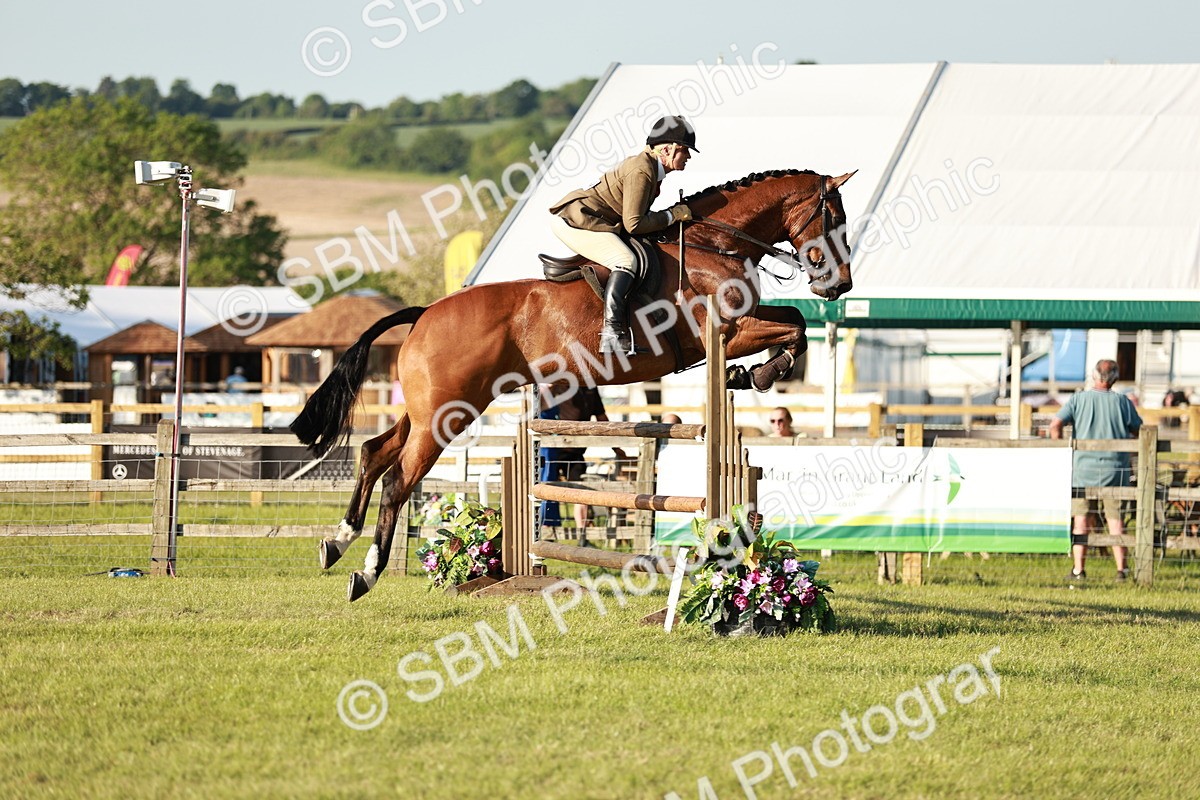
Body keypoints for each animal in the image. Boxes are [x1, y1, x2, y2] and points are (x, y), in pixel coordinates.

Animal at [290, 169, 855, 601]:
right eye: (835, 218)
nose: (840, 284)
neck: (714, 243)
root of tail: (425, 311)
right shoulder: (728, 332)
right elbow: (794, 328)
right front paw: (757, 372)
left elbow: (794, 322)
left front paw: (753, 373)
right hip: (445, 415)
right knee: (397, 480)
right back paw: (365, 573)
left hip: (426, 409)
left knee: (373, 453)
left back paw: (337, 543)